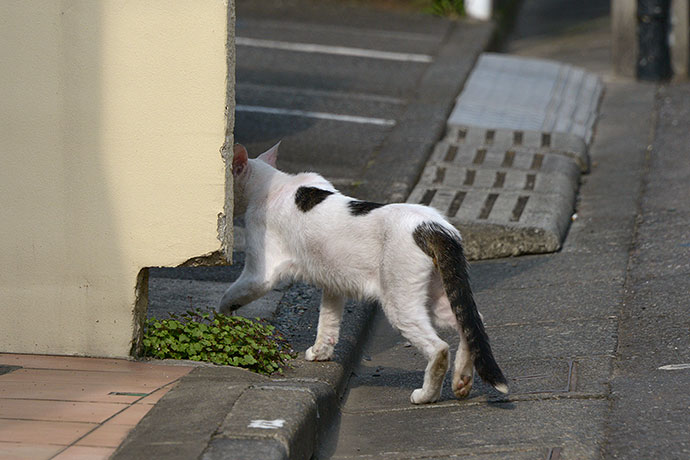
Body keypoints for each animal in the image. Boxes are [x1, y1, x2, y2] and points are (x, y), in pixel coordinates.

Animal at [220, 143, 506, 402]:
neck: (274, 184)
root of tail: (435, 225)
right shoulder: (332, 281)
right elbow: (328, 319)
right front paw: (320, 352)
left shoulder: (261, 273)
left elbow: (229, 295)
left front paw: (222, 319)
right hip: (436, 297)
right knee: (470, 323)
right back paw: (462, 381)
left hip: (399, 302)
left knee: (440, 348)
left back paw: (427, 395)